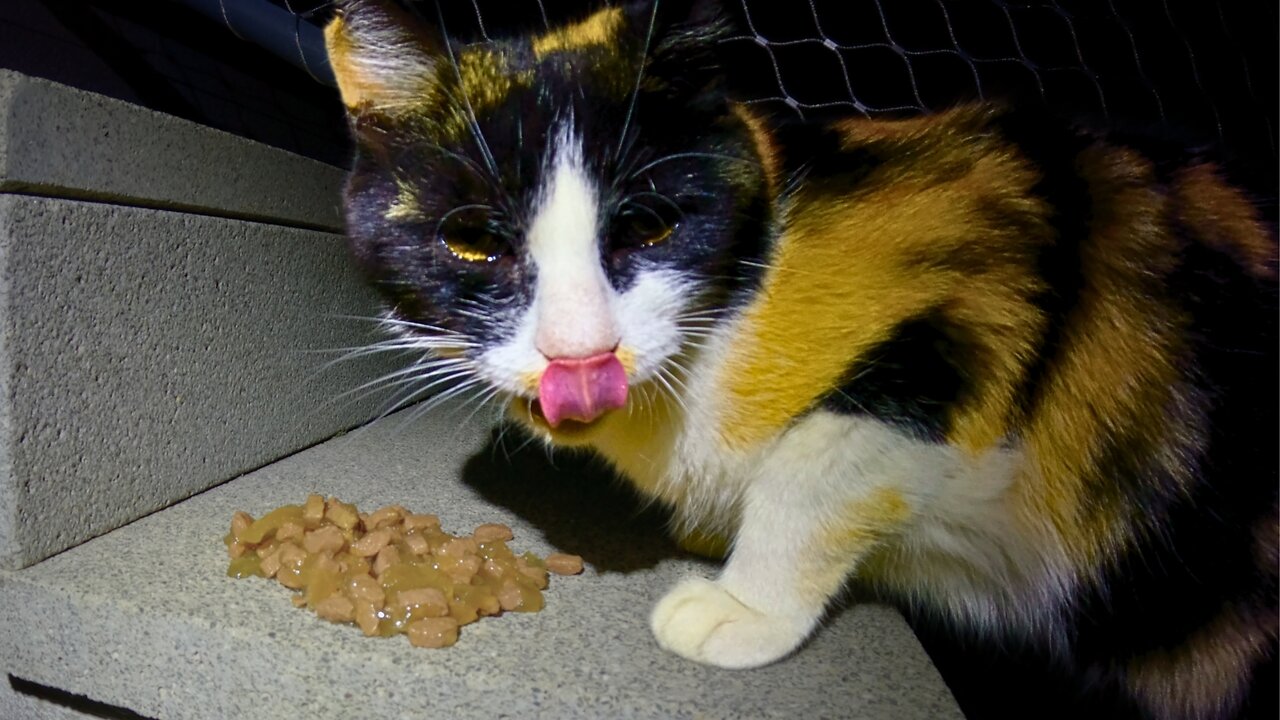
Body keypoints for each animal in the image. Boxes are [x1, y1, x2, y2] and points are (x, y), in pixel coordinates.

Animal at [322, 2, 1280, 712]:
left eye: (649, 225)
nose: (580, 352)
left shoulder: (980, 286)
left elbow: (815, 465)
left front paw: (743, 603)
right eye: (473, 242)